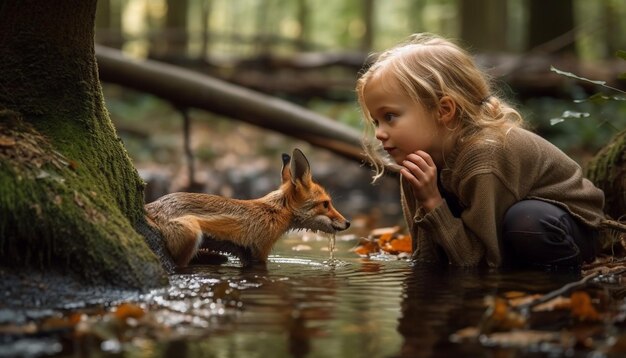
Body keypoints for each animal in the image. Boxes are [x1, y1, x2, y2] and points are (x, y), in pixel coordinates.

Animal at [146, 147, 352, 268]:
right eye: (326, 204)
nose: (348, 223)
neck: (275, 212)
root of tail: (149, 208)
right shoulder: (260, 252)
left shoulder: (245, 254)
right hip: (192, 233)